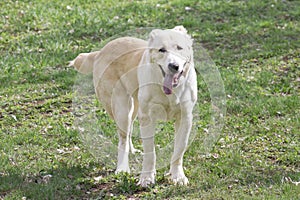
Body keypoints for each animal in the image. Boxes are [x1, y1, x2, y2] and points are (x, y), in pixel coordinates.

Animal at [70, 25, 197, 187]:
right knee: (122, 138)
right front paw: (147, 178)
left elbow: (179, 151)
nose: (173, 66)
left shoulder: (185, 118)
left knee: (129, 130)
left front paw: (178, 177)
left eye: (179, 48)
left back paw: (132, 150)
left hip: (134, 108)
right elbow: (150, 153)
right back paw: (122, 168)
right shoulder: (147, 118)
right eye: (161, 50)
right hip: (121, 109)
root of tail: (101, 51)